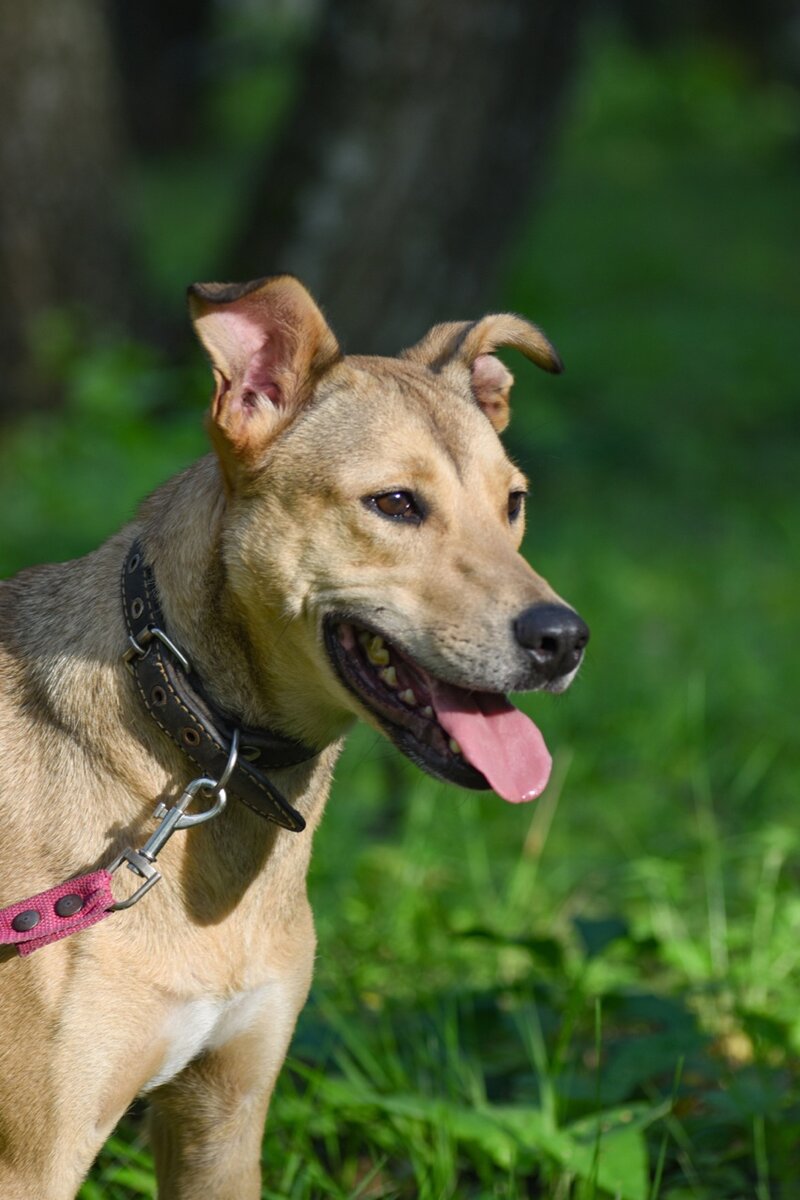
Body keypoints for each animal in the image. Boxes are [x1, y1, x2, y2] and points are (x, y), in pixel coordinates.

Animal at [0, 278, 587, 1200]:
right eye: (394, 503)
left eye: (514, 504)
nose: (563, 638)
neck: (198, 743)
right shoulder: (32, 1160)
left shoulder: (223, 1121)